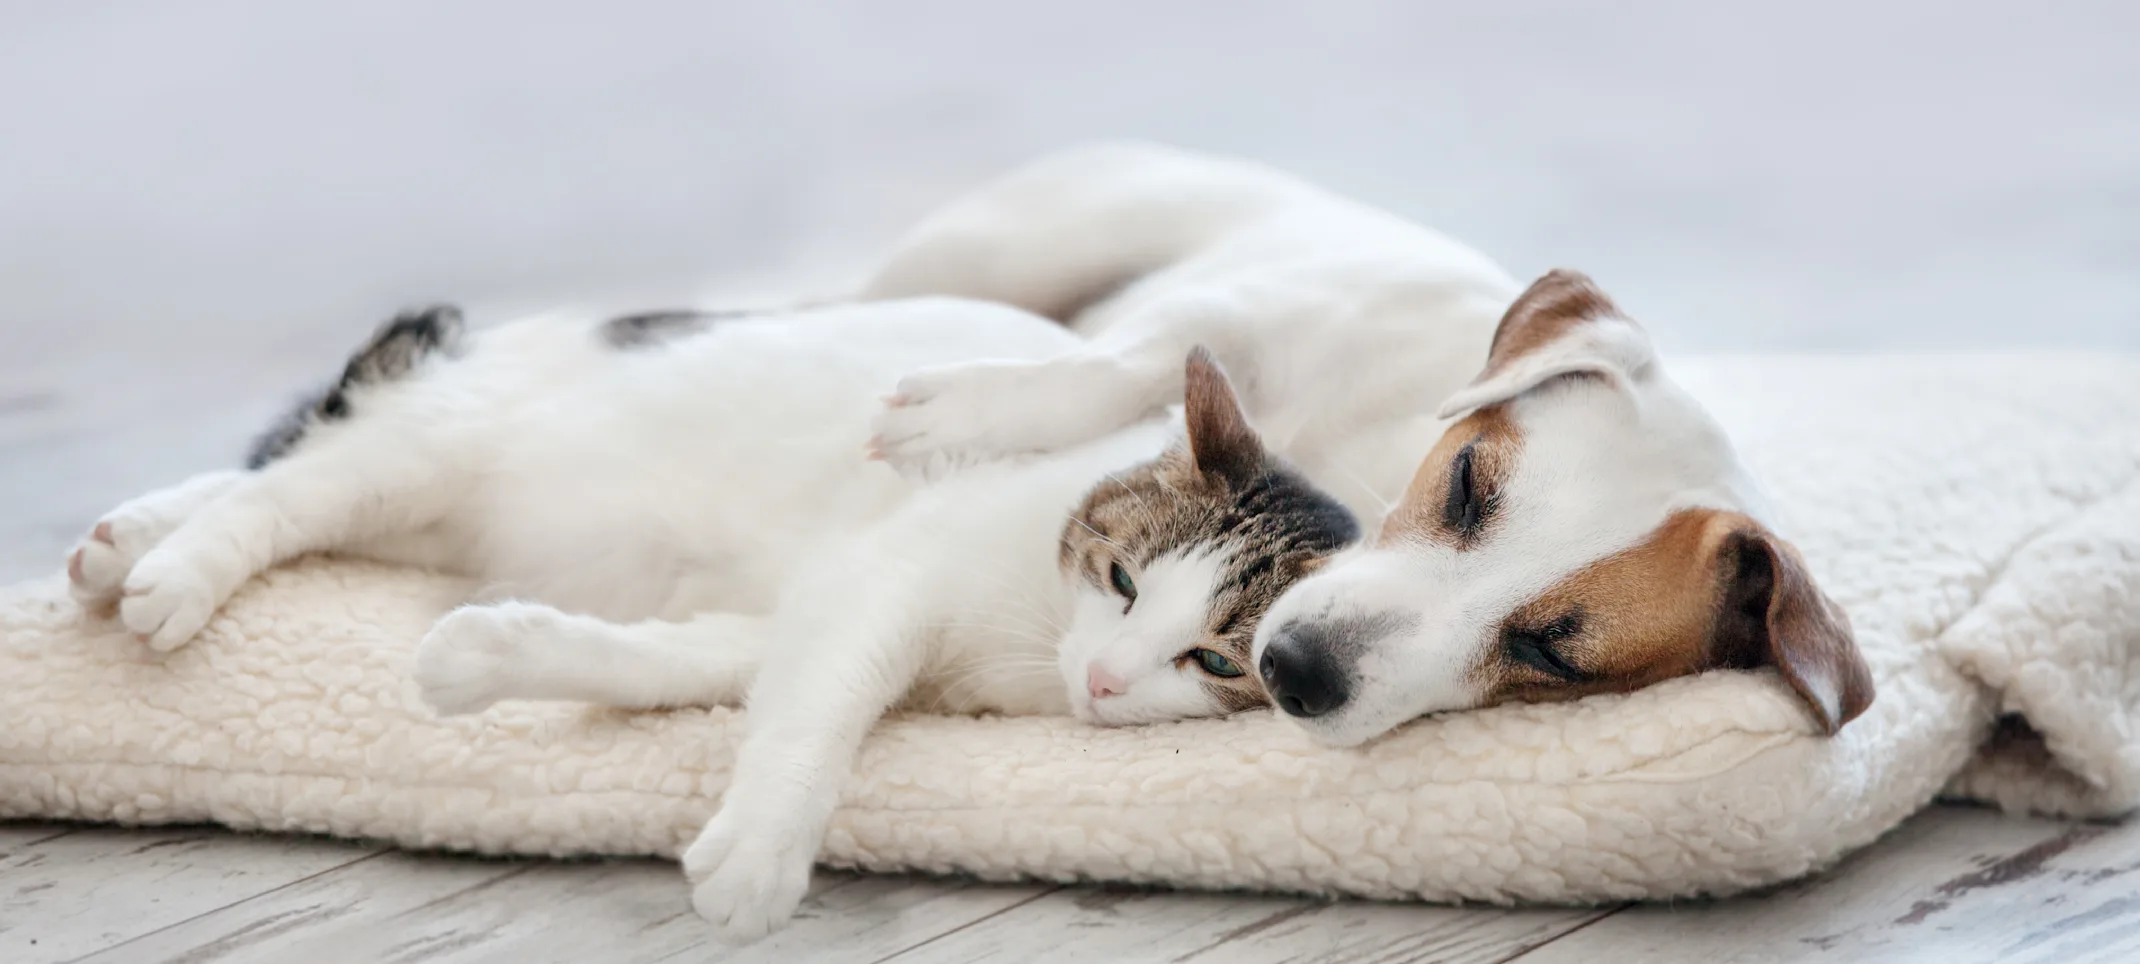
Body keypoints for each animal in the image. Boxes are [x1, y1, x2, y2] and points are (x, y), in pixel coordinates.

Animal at [79, 295, 1369, 942]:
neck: (1024, 648)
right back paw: (171, 569)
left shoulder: (785, 612)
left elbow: (671, 665)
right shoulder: (880, 580)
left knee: (299, 483)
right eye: (1122, 581)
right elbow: (823, 714)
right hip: (437, 447)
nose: (1102, 680)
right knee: (283, 491)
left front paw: (489, 655)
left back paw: (124, 539)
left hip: (429, 504)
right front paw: (760, 852)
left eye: (1213, 662)